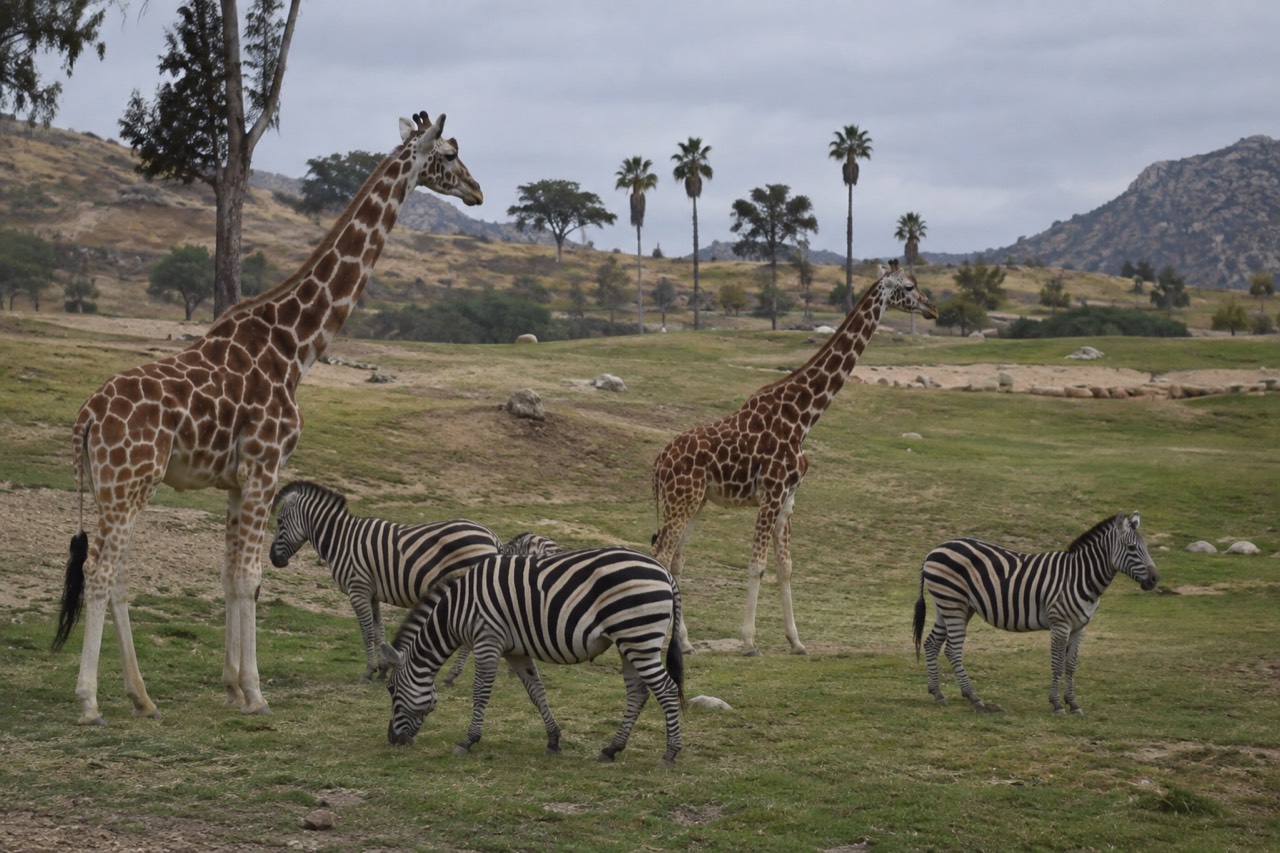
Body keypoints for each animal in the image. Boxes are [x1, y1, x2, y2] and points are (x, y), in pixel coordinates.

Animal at [269, 480, 502, 682]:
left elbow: (367, 633)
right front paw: (383, 669)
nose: (272, 559)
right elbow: (378, 631)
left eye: (279, 521)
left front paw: (369, 671)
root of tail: (492, 536)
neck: (340, 539)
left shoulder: (358, 589)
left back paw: (451, 675)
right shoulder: (372, 594)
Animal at [379, 546, 687, 765]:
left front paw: (467, 740)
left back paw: (670, 754)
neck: (457, 608)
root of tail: (665, 573)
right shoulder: (515, 651)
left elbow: (481, 692)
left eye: (392, 690)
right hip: (629, 643)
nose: (393, 740)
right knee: (638, 693)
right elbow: (536, 692)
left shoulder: (487, 640)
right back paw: (611, 749)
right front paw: (553, 740)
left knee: (667, 689)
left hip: (639, 638)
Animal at [651, 261, 937, 656]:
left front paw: (797, 641)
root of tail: (657, 465)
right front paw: (749, 641)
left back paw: (685, 641)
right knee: (661, 556)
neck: (803, 418)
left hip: (694, 502)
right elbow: (757, 565)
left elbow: (785, 566)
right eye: (909, 286)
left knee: (675, 559)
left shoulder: (788, 498)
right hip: (681, 501)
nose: (933, 309)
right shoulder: (770, 494)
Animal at [913, 511, 1159, 715]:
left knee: (932, 643)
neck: (1080, 576)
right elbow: (1057, 663)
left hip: (952, 606)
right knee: (953, 650)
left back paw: (937, 694)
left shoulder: (1080, 627)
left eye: (1146, 548)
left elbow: (1071, 665)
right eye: (1132, 549)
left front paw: (1073, 703)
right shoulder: (1060, 624)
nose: (1156, 579)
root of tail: (935, 549)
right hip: (953, 603)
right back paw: (974, 698)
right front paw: (1057, 704)